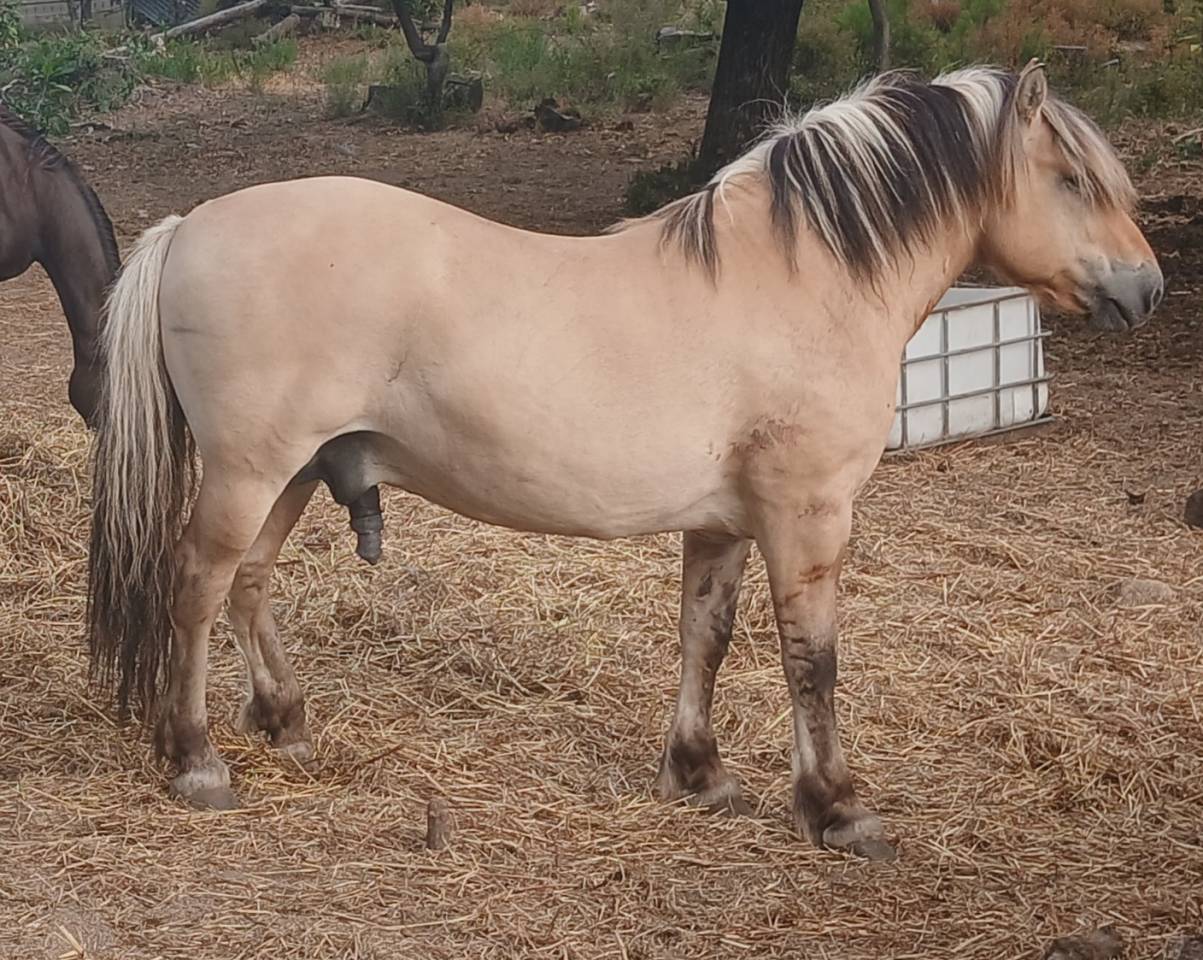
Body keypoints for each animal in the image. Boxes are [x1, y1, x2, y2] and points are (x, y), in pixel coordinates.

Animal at [87, 63, 1161, 859]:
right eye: (1073, 180)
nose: (1145, 289)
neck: (801, 279)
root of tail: (192, 225)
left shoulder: (724, 522)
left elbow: (706, 638)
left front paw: (700, 774)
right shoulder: (807, 513)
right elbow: (811, 661)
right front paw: (838, 809)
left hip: (296, 470)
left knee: (248, 585)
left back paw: (286, 721)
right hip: (249, 470)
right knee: (195, 588)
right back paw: (194, 759)